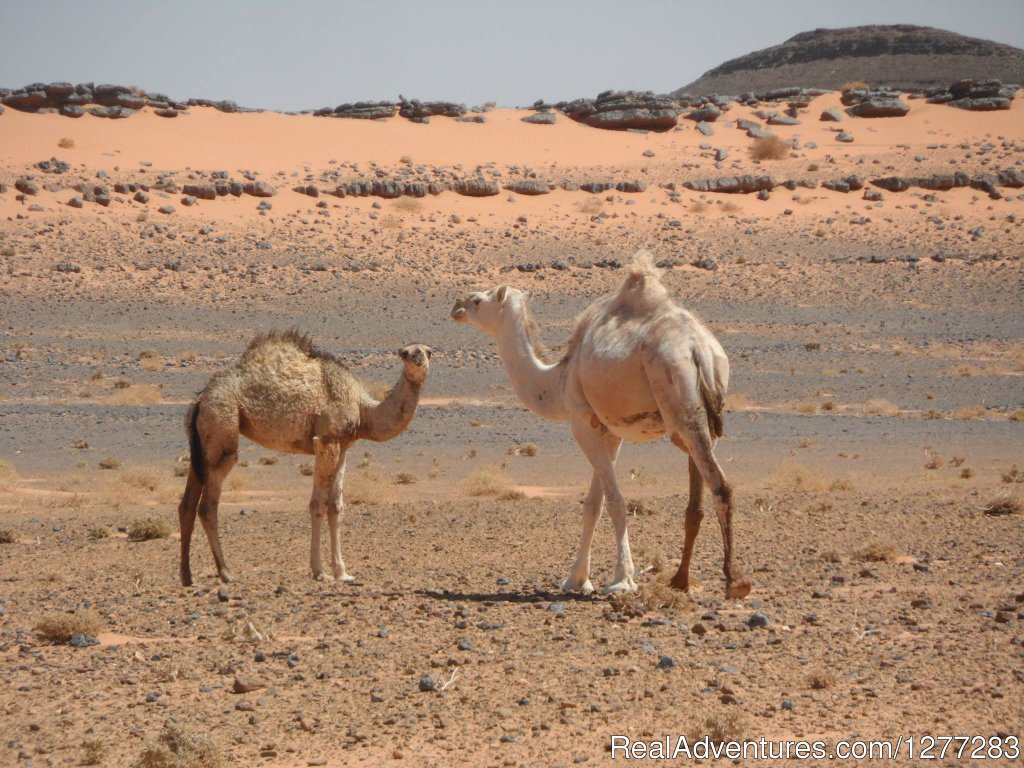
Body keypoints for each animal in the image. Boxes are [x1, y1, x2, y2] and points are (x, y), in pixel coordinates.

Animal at [178, 331, 430, 589]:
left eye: (428, 350)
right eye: (405, 353)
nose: (418, 359)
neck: (363, 410)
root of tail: (200, 400)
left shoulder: (343, 448)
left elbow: (336, 506)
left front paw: (343, 573)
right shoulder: (326, 442)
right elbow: (318, 504)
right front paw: (319, 572)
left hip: (203, 443)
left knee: (187, 503)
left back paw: (187, 576)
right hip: (222, 425)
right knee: (208, 504)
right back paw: (226, 573)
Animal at [452, 252, 749, 602]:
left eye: (477, 300)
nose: (456, 305)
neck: (558, 379)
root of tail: (700, 349)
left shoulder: (581, 423)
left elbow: (615, 499)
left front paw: (622, 580)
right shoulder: (609, 431)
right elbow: (593, 504)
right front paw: (577, 579)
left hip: (680, 403)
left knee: (721, 485)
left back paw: (735, 581)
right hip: (707, 415)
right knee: (698, 496)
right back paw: (680, 579)